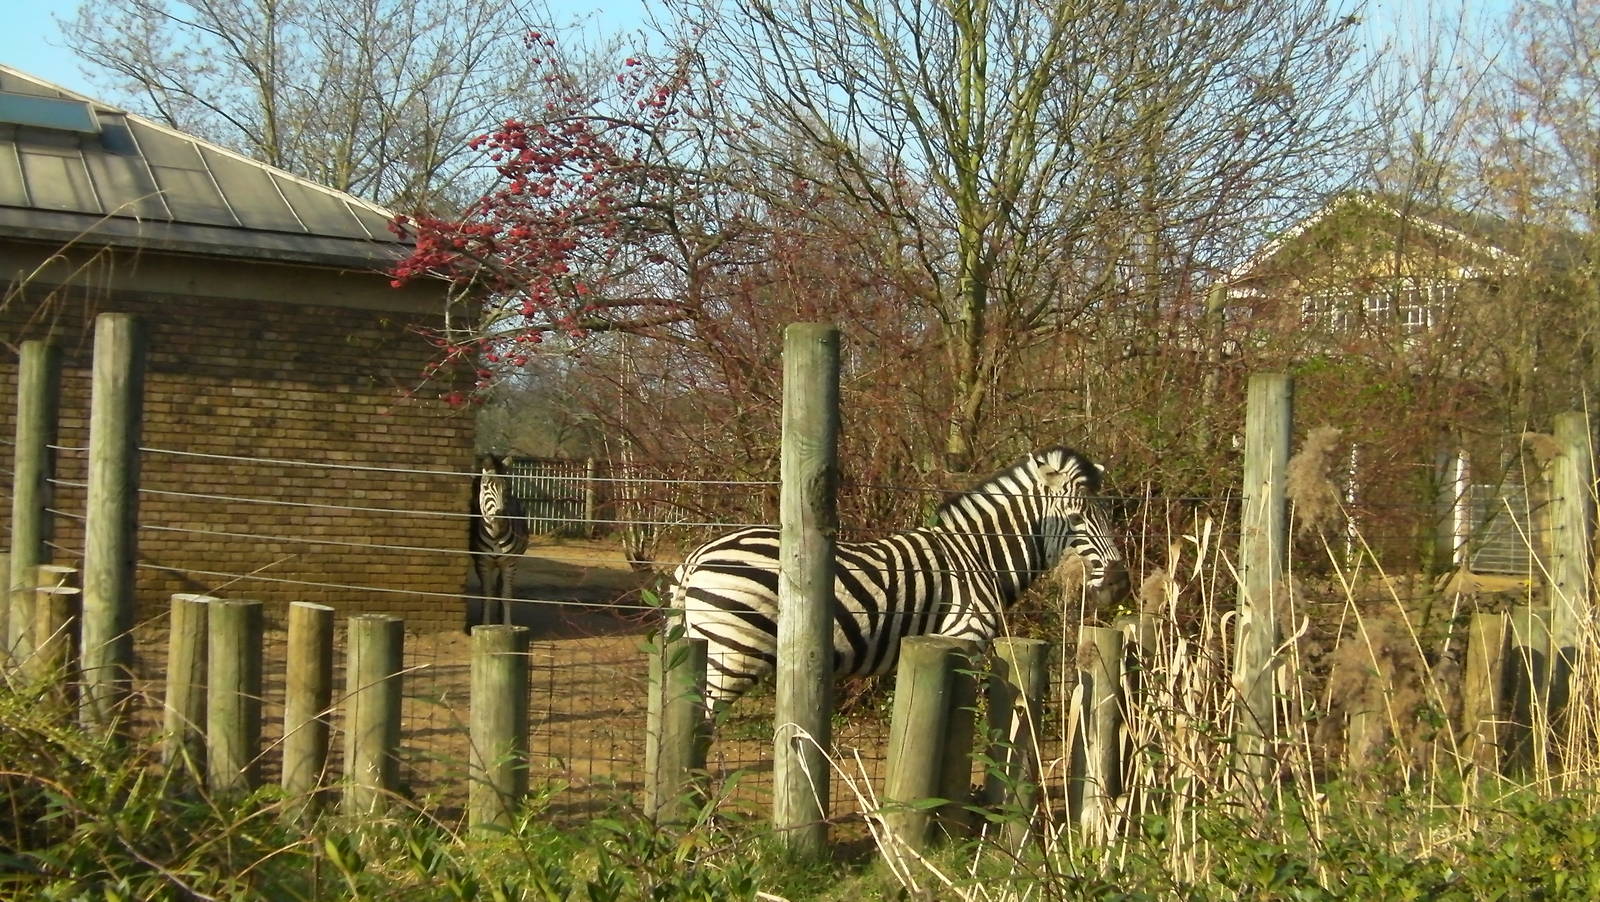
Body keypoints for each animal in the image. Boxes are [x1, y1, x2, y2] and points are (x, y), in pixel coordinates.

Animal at [470, 455, 530, 626]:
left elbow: (506, 595)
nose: (501, 515)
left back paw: (499, 616)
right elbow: (486, 594)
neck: (495, 535)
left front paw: (507, 625)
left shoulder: (509, 564)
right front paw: (484, 624)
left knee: (500, 586)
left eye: (508, 488)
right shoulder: (483, 563)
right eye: (485, 487)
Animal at [672, 446, 1130, 712]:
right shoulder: (964, 639)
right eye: (1076, 518)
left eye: (1108, 513)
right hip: (733, 654)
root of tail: (697, 556)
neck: (978, 557)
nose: (1120, 585)